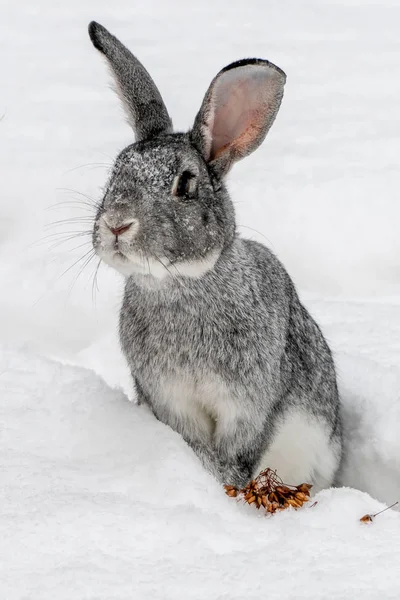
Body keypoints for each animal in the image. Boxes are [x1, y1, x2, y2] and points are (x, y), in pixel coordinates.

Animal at [89, 22, 342, 492]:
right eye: (115, 173)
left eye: (186, 185)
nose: (116, 224)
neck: (181, 285)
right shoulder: (168, 399)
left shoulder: (250, 403)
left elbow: (241, 450)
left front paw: (228, 483)